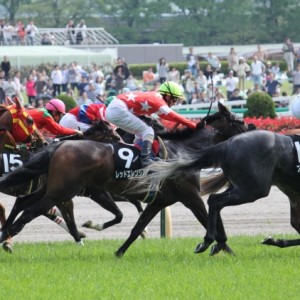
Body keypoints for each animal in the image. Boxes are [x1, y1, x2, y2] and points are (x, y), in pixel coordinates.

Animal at [0, 102, 248, 255]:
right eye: (239, 121)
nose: (251, 132)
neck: (184, 151)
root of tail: (58, 146)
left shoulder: (159, 200)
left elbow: (137, 226)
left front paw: (119, 252)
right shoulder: (190, 196)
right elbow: (208, 220)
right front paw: (223, 249)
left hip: (52, 188)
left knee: (24, 204)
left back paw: (7, 235)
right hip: (61, 191)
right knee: (28, 212)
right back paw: (8, 237)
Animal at [141, 129, 300, 253]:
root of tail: (227, 143)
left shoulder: (295, 197)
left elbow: (295, 225)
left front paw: (275, 241)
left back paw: (216, 242)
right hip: (253, 189)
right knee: (215, 200)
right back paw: (208, 241)